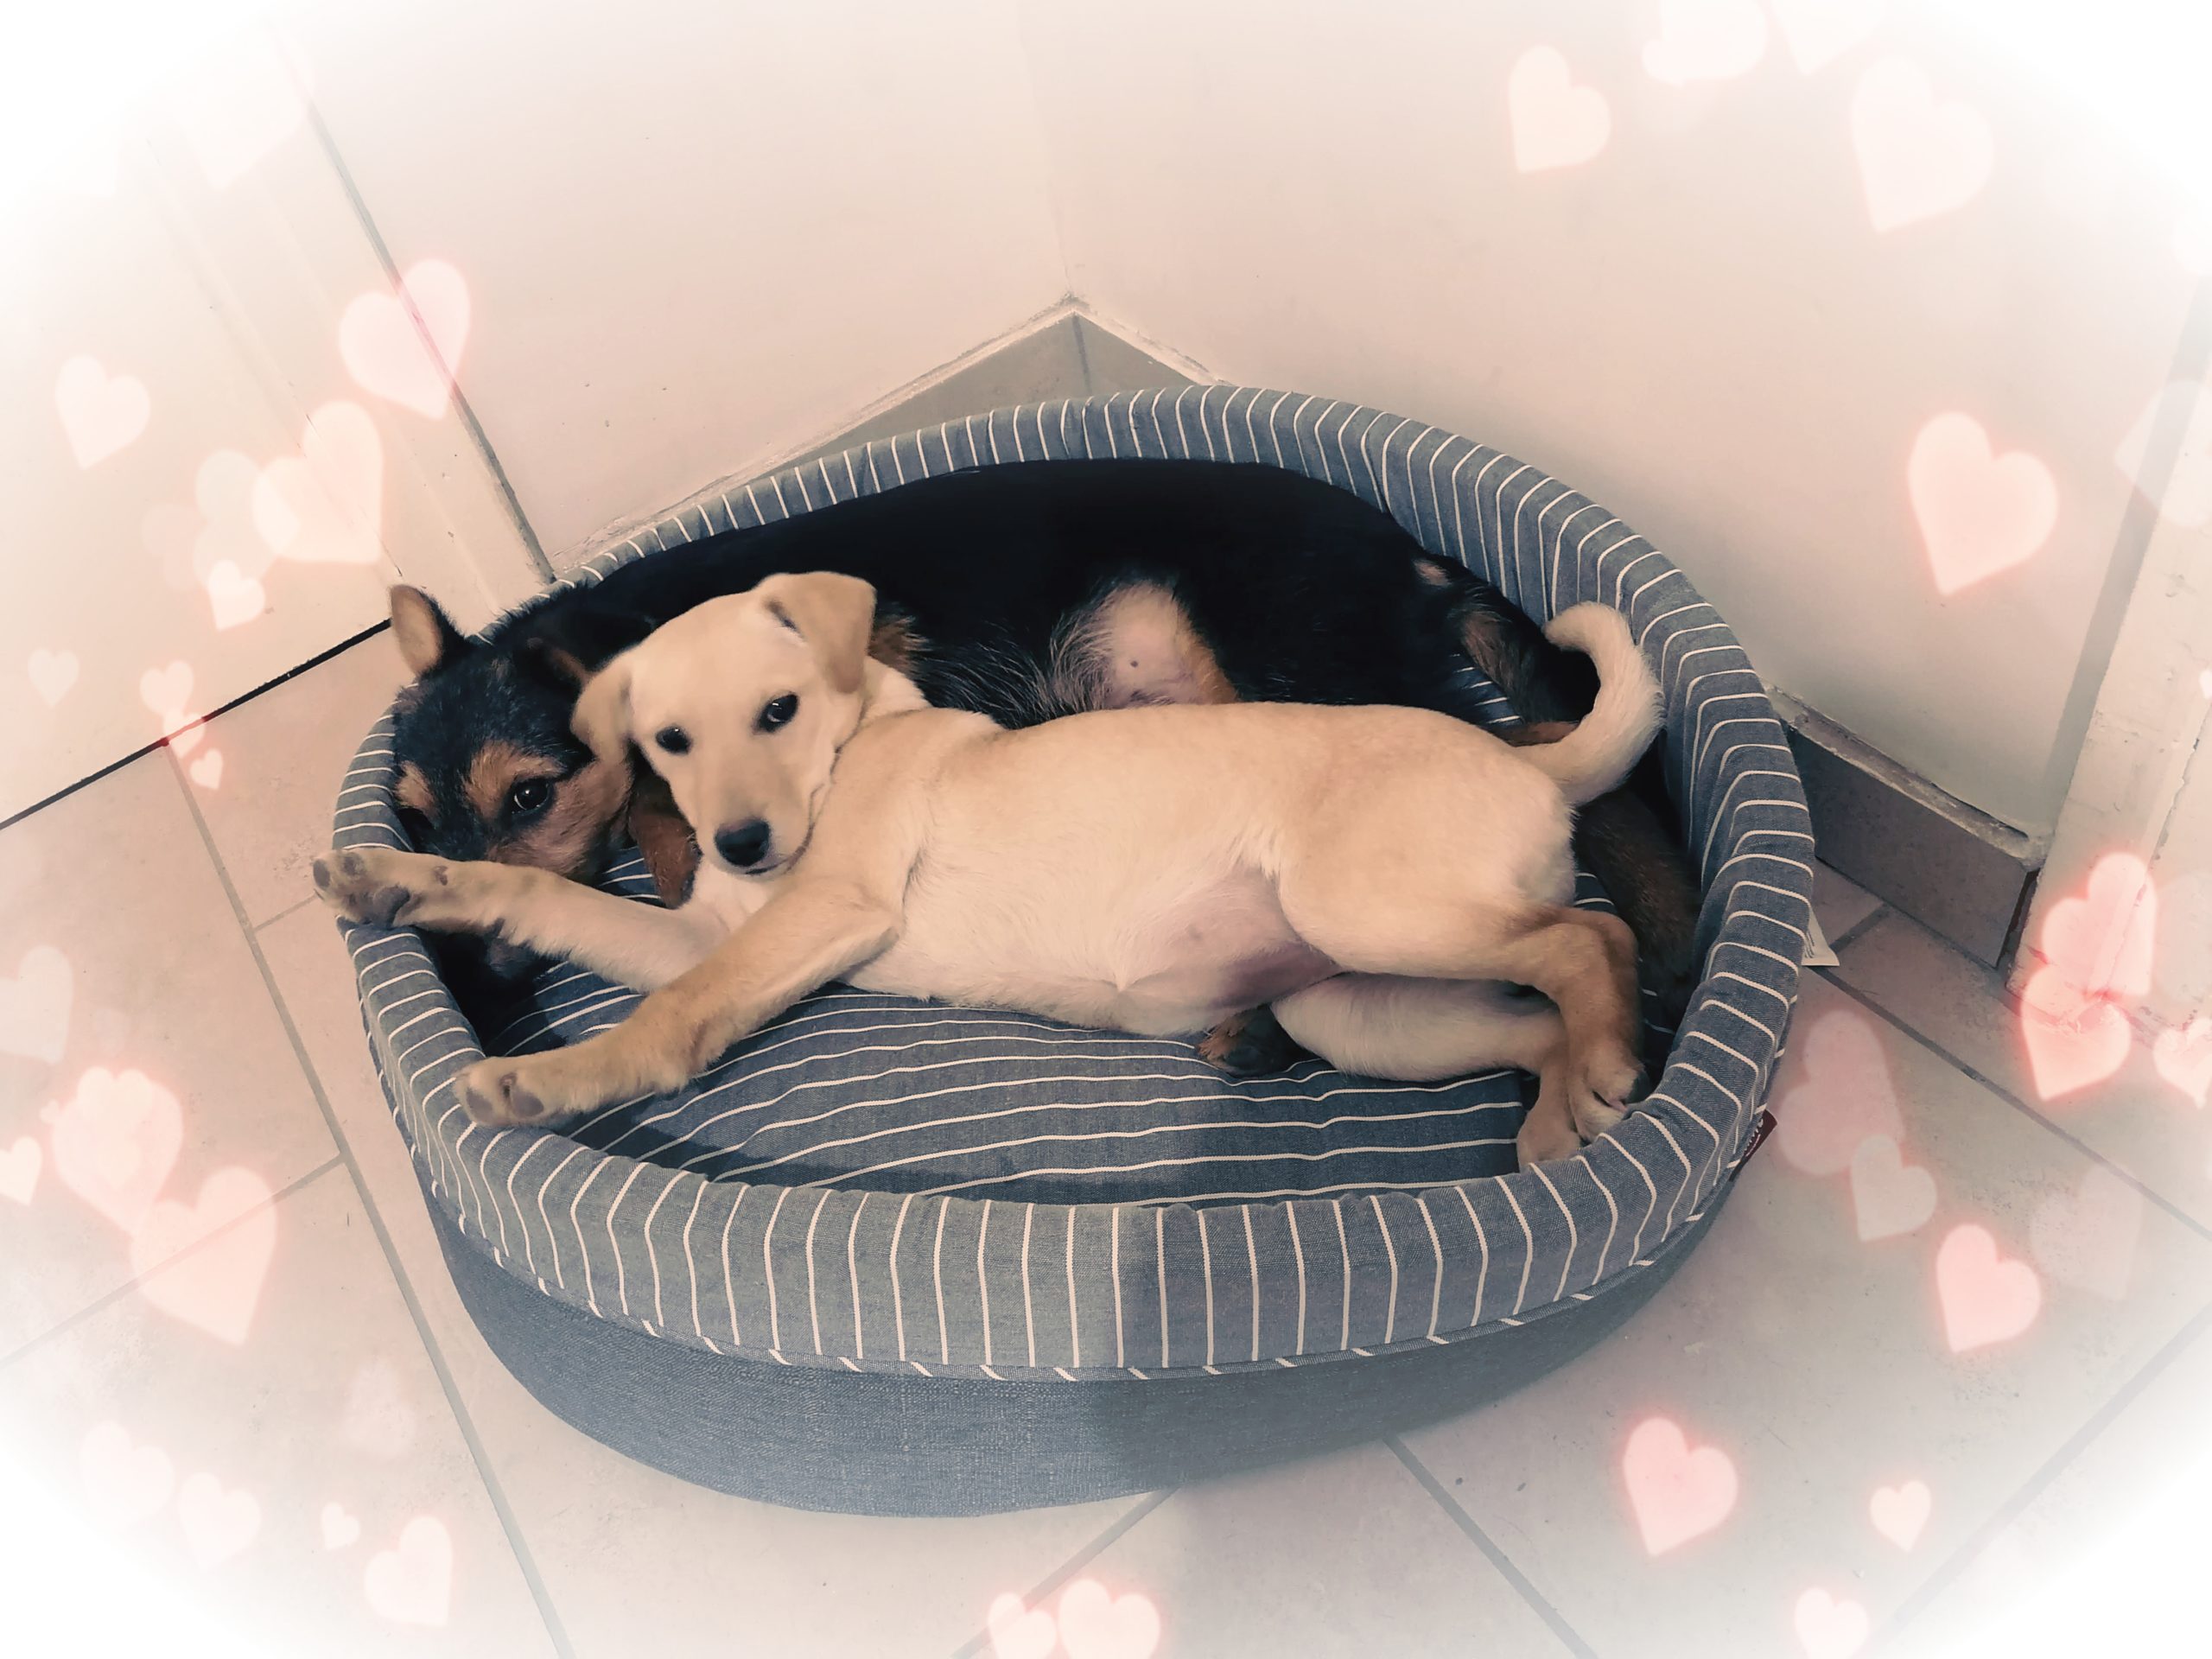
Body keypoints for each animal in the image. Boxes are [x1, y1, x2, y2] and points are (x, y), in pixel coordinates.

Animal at [317, 572, 1662, 1166]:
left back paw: (1602, 1069)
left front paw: (549, 1080)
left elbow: (674, 1016)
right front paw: (405, 883)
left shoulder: (826, 907)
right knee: (1533, 1012)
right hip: (1364, 1007)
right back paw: (1561, 1125)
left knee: (1595, 940)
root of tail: (1538, 763)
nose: (742, 844)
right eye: (667, 744)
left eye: (778, 711)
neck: (842, 755)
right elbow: (554, 896)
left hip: (1366, 909)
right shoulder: (706, 927)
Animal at [382, 459, 1699, 1027]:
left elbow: (664, 811)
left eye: (529, 797)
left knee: (1570, 760)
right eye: (410, 818)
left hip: (1310, 665)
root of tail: (1407, 549)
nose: (468, 987)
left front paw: (667, 846)